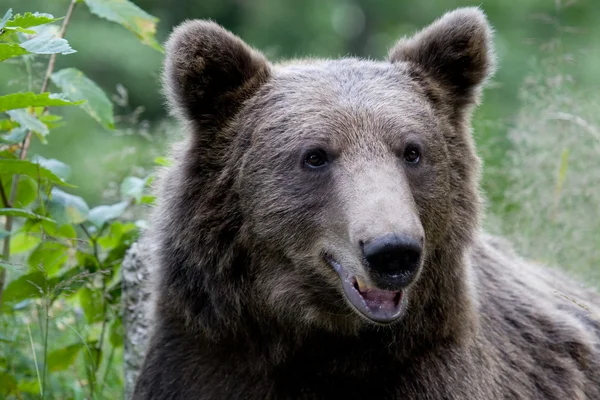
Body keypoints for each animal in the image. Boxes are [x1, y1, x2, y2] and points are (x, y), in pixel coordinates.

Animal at [134, 7, 600, 400]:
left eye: (412, 151)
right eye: (315, 156)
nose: (393, 251)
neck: (328, 341)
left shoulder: (435, 364)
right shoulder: (208, 355)